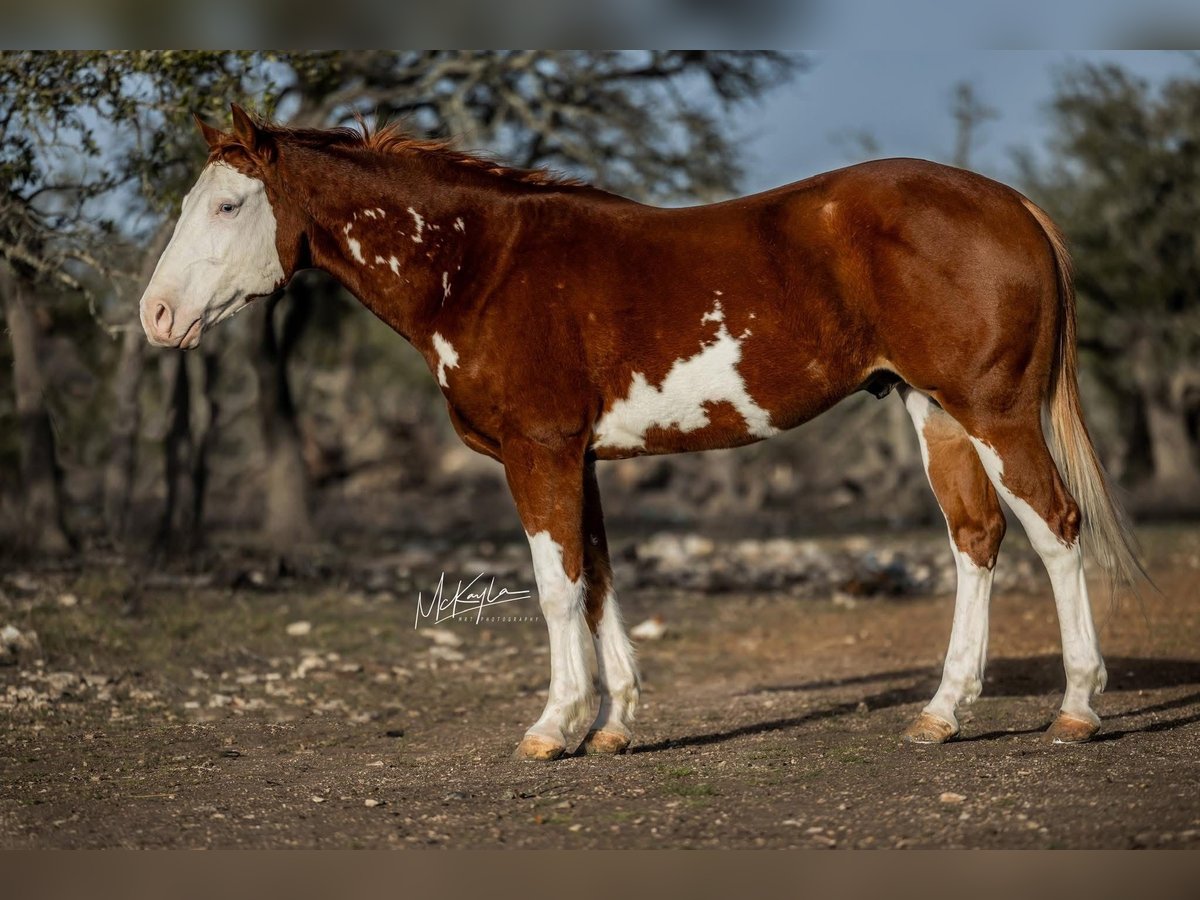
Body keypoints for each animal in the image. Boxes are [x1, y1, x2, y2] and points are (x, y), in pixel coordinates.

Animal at [142, 105, 1142, 763]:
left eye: (228, 206)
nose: (155, 316)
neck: (481, 264)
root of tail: (1011, 205)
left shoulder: (539, 450)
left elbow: (555, 590)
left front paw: (553, 728)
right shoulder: (577, 457)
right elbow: (597, 580)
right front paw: (614, 723)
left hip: (995, 413)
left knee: (1056, 529)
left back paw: (1077, 708)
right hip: (935, 412)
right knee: (977, 537)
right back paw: (942, 711)